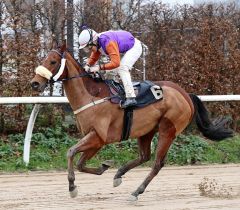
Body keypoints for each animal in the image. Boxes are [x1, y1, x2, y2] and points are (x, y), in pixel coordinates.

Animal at [30, 42, 232, 200]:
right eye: (43, 59)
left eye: (53, 61)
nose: (35, 83)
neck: (91, 96)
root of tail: (185, 94)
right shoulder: (95, 139)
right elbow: (80, 163)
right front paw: (104, 166)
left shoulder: (98, 137)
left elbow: (71, 152)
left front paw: (72, 187)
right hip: (147, 131)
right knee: (145, 156)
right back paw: (119, 174)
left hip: (168, 129)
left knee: (157, 163)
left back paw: (137, 192)